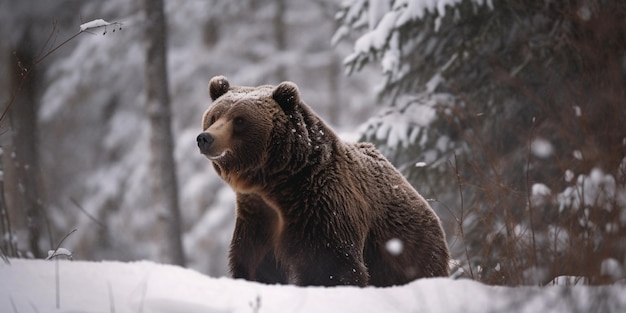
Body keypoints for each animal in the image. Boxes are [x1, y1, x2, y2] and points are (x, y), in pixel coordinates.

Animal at [197, 75, 446, 286]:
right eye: (214, 116)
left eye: (239, 120)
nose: (205, 138)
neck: (275, 186)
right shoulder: (258, 218)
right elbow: (254, 265)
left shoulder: (321, 209)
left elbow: (333, 267)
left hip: (409, 251)